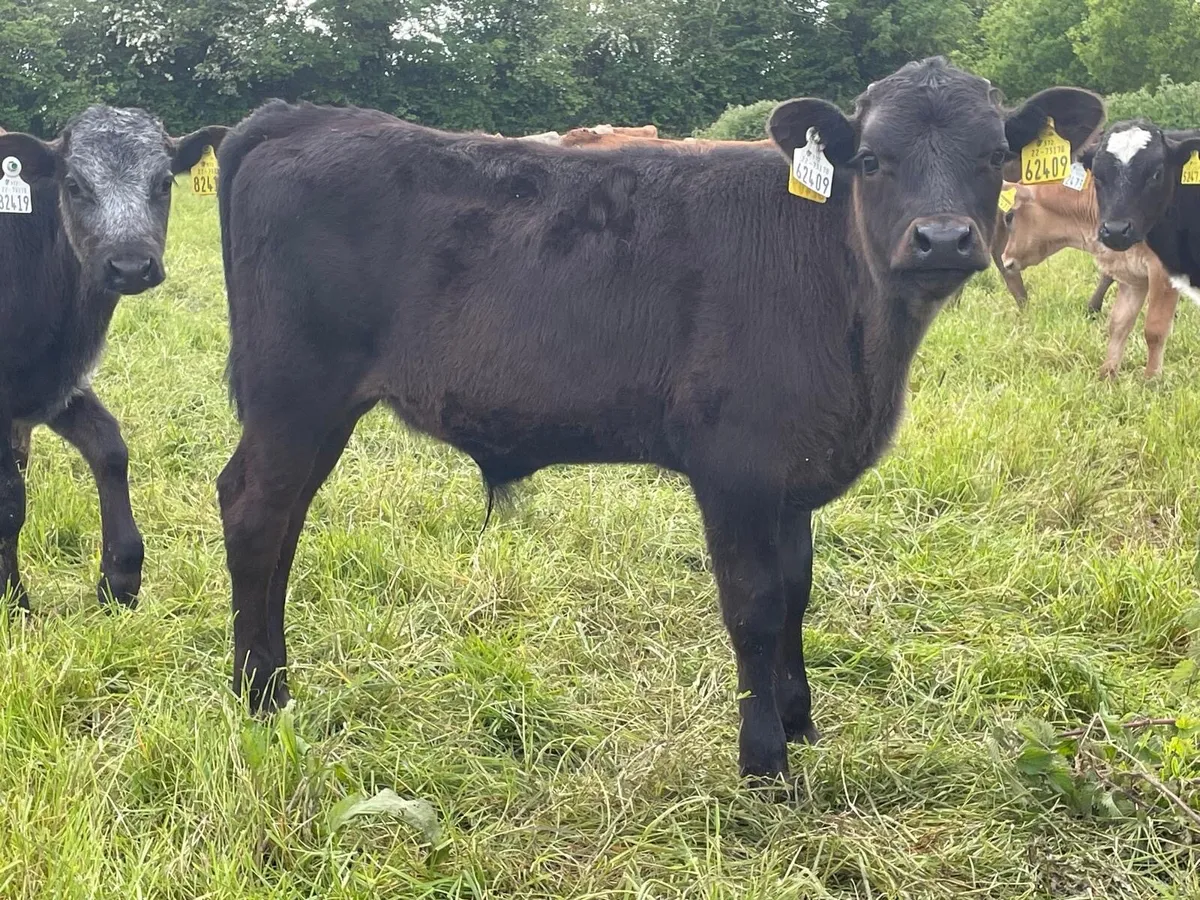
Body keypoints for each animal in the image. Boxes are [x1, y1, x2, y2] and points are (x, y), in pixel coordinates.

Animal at [0, 107, 226, 611]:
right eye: (74, 185)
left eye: (164, 182)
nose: (129, 266)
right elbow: (8, 501)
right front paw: (12, 601)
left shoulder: (57, 385)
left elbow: (109, 448)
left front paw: (120, 580)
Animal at [214, 58, 1103, 783]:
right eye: (873, 160)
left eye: (992, 158)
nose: (943, 238)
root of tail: (302, 116)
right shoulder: (735, 466)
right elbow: (754, 603)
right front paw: (764, 762)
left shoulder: (791, 471)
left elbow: (798, 588)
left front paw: (801, 722)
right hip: (296, 392)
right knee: (255, 512)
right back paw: (260, 699)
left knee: (281, 520)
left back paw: (275, 682)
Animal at [999, 180, 1179, 378]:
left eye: (1009, 217)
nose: (1005, 258)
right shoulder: (1132, 275)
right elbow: (1119, 324)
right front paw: (1107, 374)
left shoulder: (1161, 272)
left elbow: (1155, 330)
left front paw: (1151, 379)